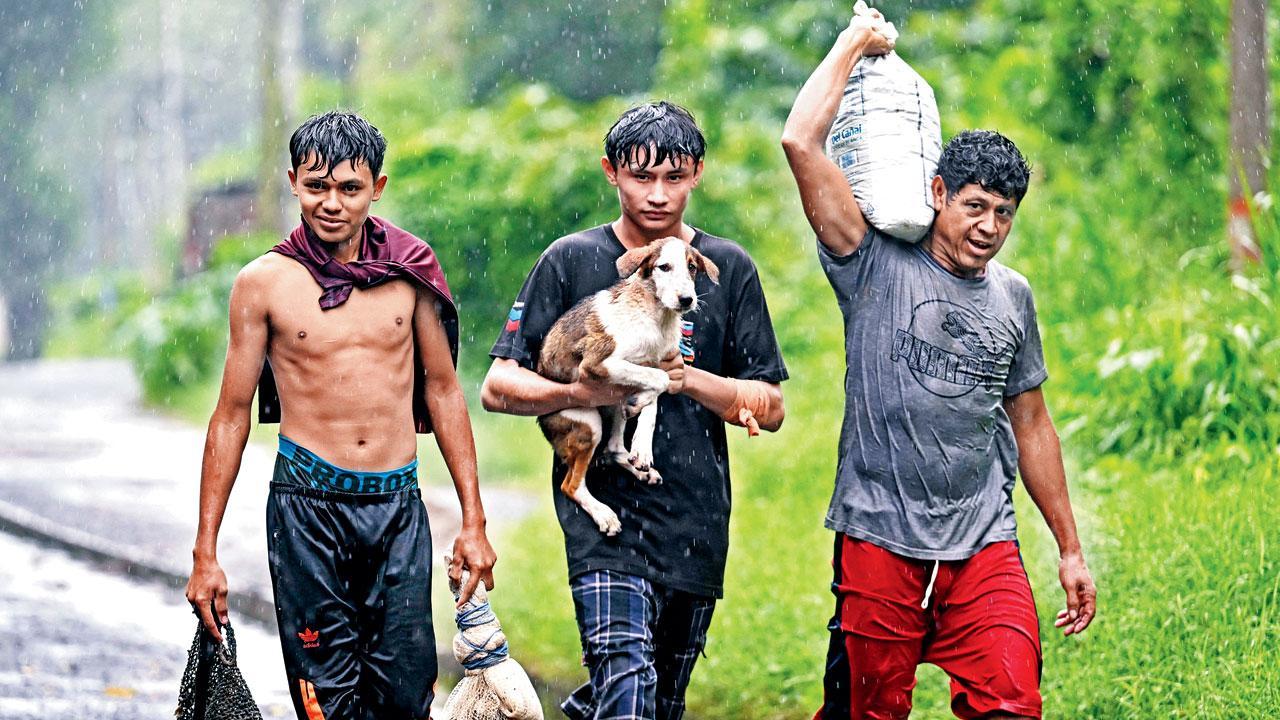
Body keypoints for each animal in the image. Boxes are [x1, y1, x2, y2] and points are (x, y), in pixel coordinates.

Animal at [535, 235, 721, 532]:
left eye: (692, 267)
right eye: (663, 267)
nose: (686, 299)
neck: (656, 317)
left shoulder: (653, 364)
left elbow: (655, 397)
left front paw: (642, 444)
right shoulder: (599, 364)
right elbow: (660, 381)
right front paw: (640, 412)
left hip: (610, 405)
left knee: (612, 448)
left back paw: (639, 465)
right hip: (589, 423)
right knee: (571, 485)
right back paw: (604, 514)